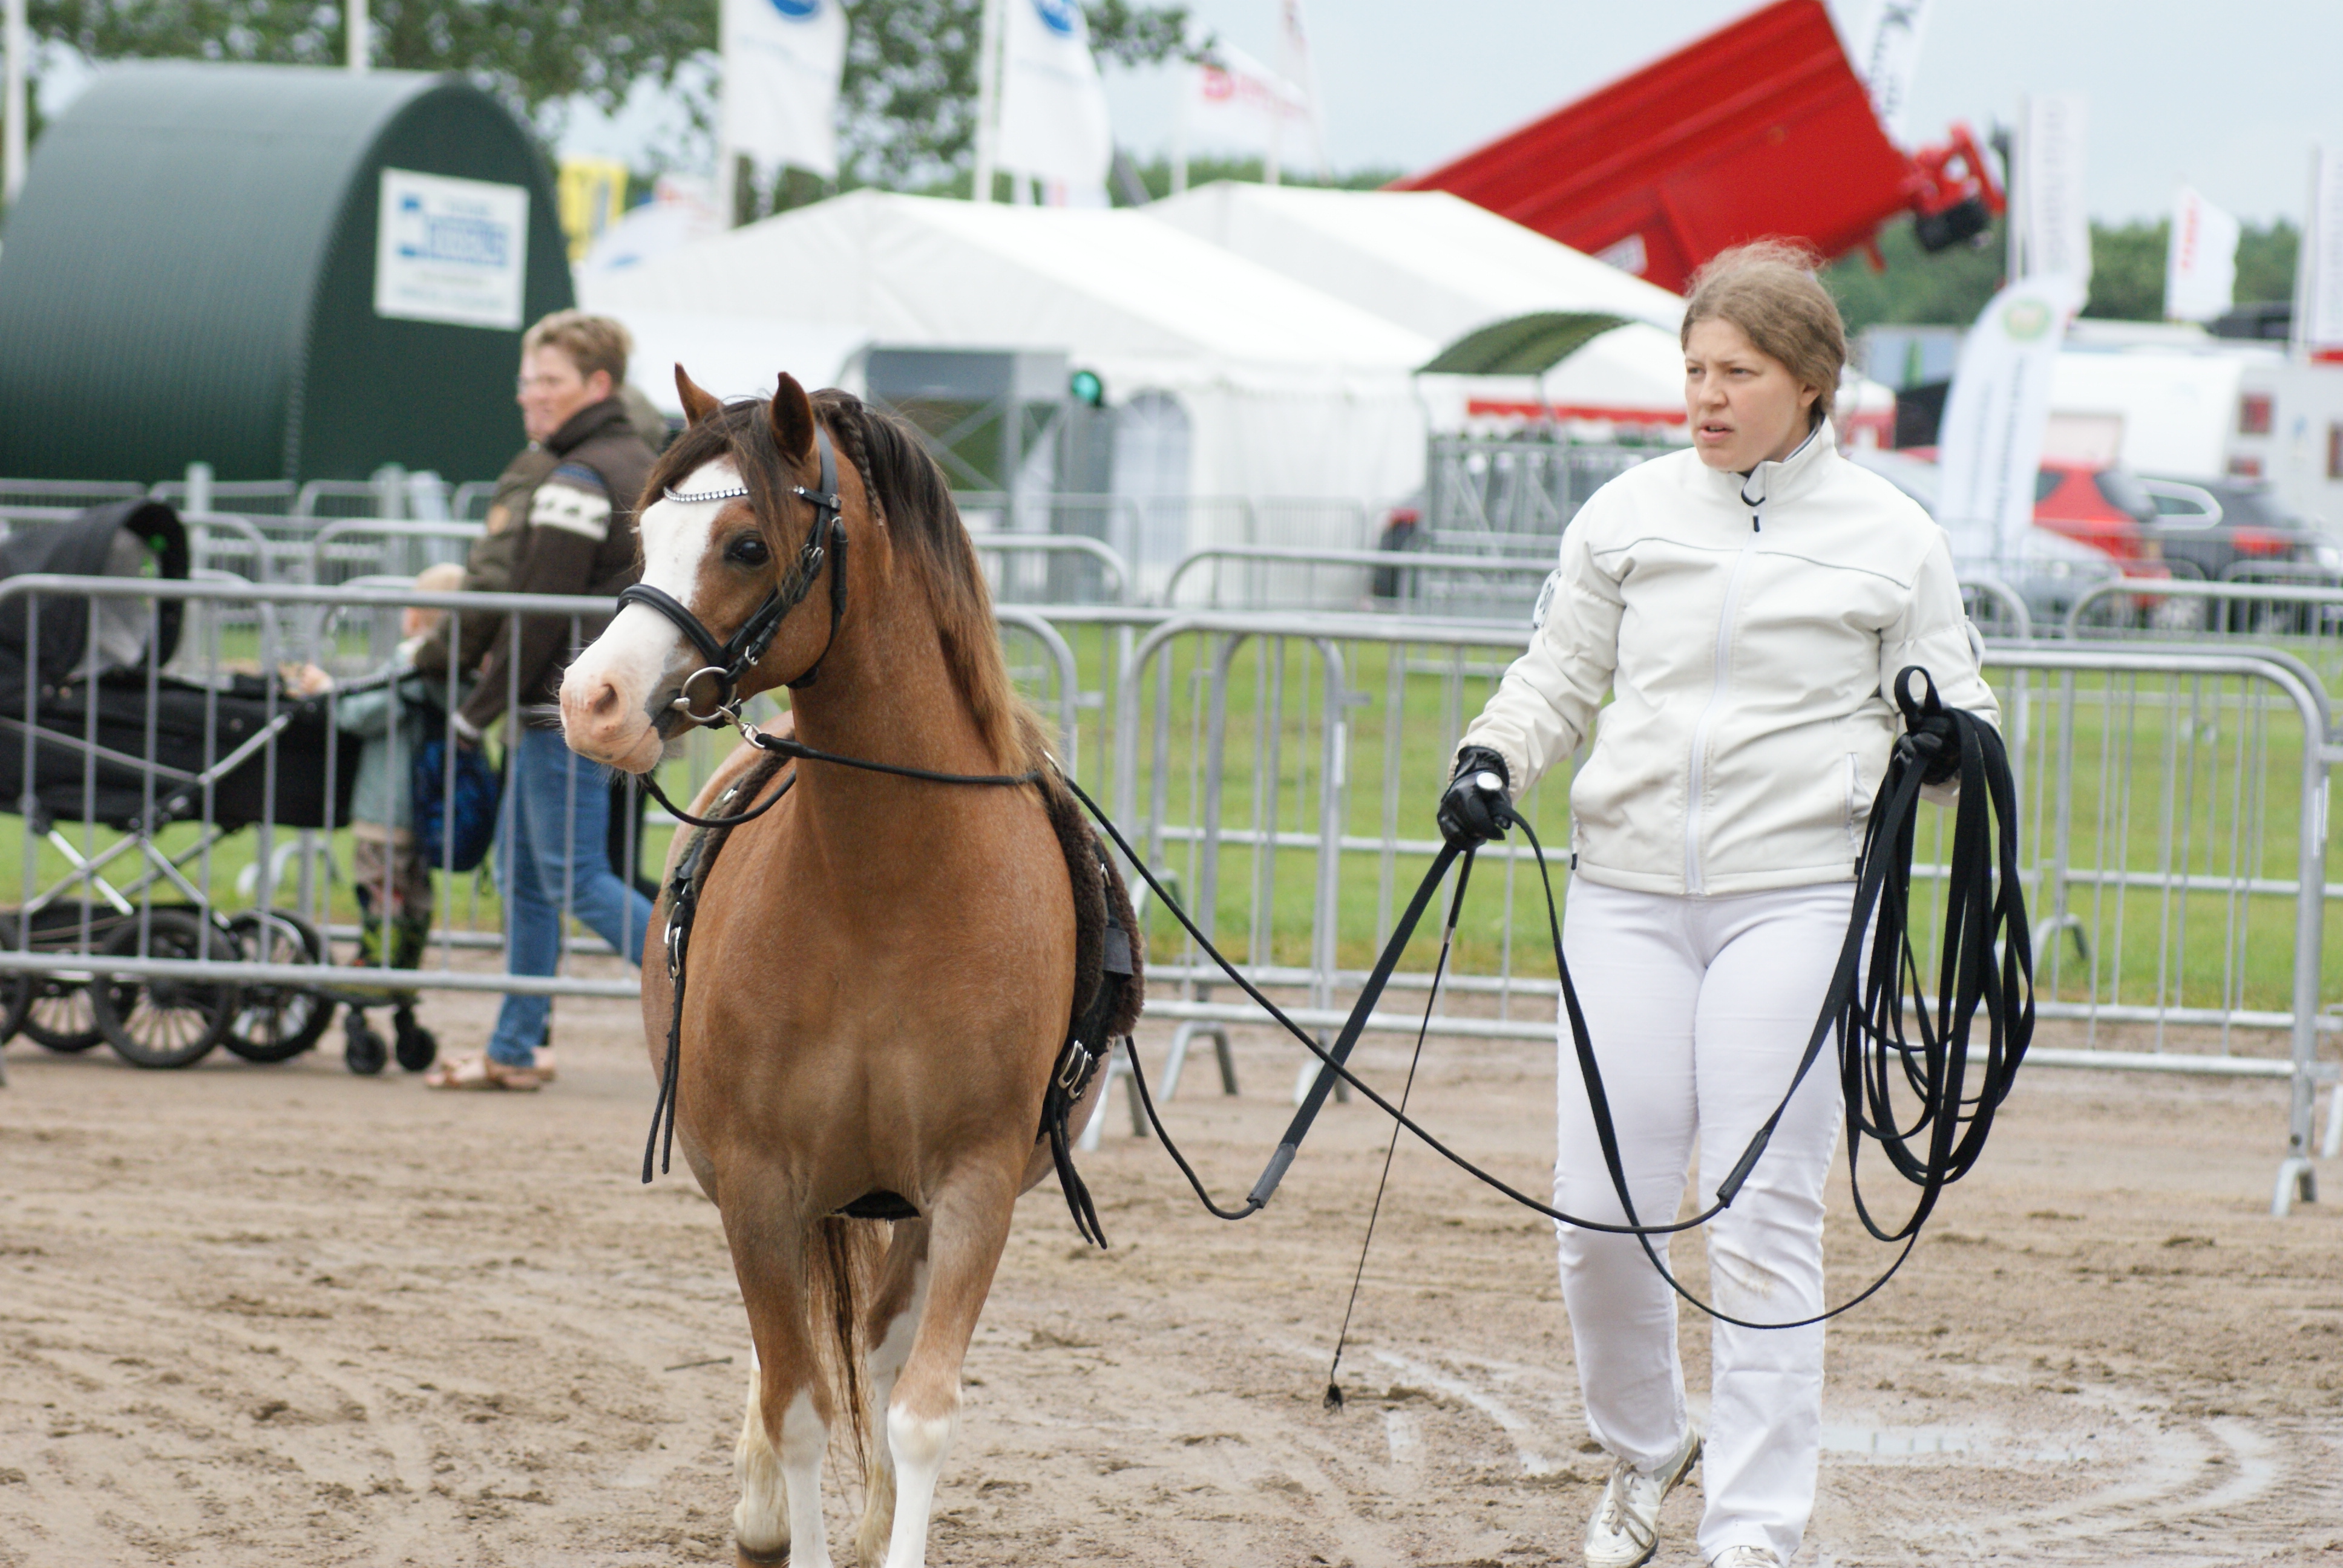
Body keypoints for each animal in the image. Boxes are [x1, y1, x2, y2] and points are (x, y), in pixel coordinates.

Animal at [559, 369, 1137, 1568]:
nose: (591, 699)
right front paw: (782, 1506)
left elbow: (915, 1410)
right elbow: (797, 1407)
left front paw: (883, 1530)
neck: (886, 890)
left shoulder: (972, 1186)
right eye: (643, 531)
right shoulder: (757, 1184)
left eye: (744, 543)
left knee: (875, 1347)